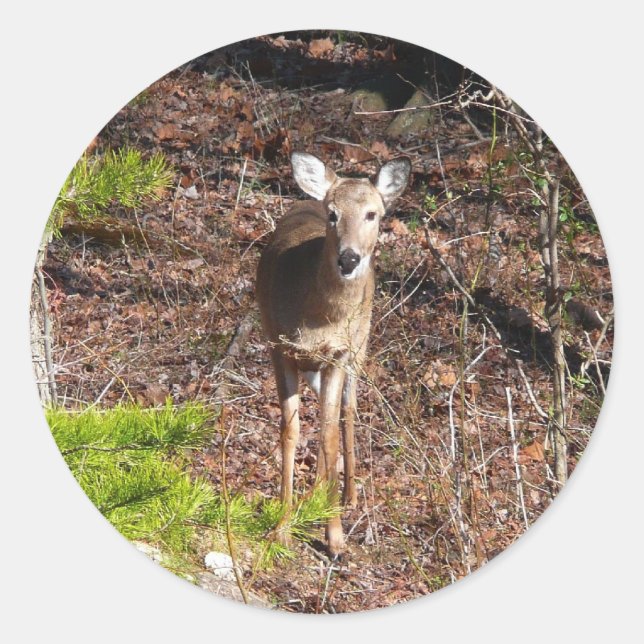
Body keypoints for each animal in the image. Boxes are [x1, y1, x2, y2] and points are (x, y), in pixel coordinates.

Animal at [256, 152, 411, 556]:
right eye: (333, 214)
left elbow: (326, 434)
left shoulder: (339, 354)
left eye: (373, 214)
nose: (349, 259)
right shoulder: (279, 346)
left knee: (347, 411)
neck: (319, 318)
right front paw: (281, 527)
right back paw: (316, 495)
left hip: (361, 345)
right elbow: (291, 430)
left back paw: (348, 496)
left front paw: (335, 537)